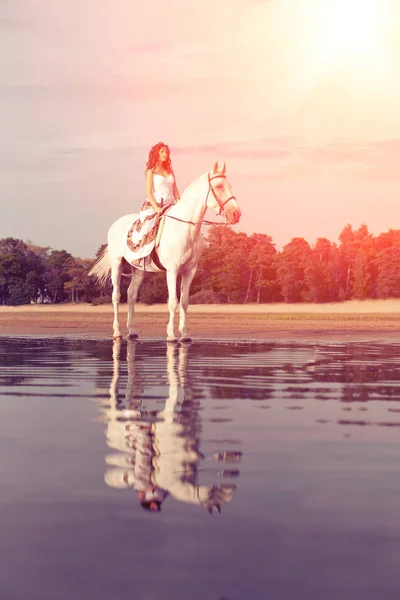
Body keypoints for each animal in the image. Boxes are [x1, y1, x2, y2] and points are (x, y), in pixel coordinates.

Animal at [89, 161, 241, 342]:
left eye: (230, 185)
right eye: (218, 186)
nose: (236, 214)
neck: (185, 228)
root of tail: (116, 224)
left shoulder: (190, 271)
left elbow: (184, 302)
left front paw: (185, 335)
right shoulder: (172, 270)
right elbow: (173, 302)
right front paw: (171, 335)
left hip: (138, 270)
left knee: (131, 294)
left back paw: (132, 332)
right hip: (116, 265)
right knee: (116, 296)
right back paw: (117, 332)